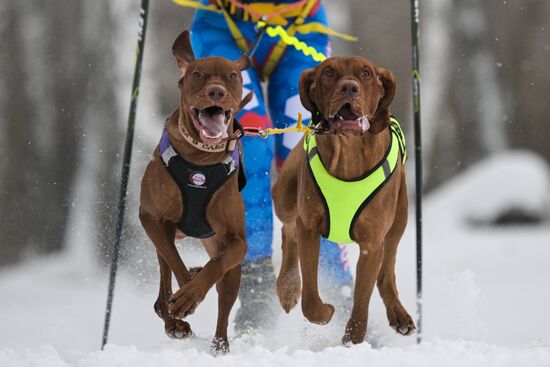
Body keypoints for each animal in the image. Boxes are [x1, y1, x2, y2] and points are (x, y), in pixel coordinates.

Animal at [141, 31, 256, 354]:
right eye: (197, 74)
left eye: (232, 76)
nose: (216, 91)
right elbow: (173, 261)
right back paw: (172, 320)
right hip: (164, 231)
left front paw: (191, 293)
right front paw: (185, 295)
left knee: (224, 299)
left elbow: (217, 265)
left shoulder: (236, 241)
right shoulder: (151, 217)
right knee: (164, 276)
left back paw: (219, 344)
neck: (201, 158)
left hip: (228, 262)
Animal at [274, 55, 416, 344]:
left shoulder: (371, 243)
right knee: (288, 227)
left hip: (401, 216)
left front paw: (352, 341)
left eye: (366, 73)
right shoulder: (310, 227)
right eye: (328, 73)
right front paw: (324, 312)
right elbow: (310, 298)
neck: (349, 152)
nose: (349, 88)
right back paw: (288, 287)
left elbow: (362, 299)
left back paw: (399, 314)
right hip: (284, 194)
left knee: (387, 270)